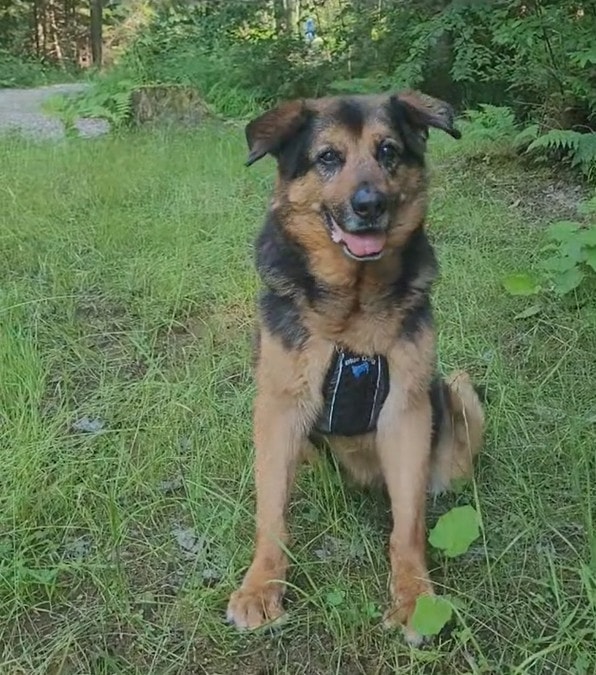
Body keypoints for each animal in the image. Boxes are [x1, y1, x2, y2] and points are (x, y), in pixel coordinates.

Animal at [225, 90, 484, 644]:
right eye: (328, 157)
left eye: (388, 151)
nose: (370, 206)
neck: (353, 309)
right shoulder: (278, 411)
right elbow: (271, 514)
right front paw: (262, 586)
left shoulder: (406, 413)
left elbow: (408, 526)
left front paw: (414, 597)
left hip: (455, 400)